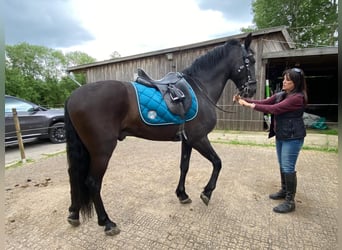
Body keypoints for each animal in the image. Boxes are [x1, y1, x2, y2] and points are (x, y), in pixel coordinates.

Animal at [65, 33, 256, 234]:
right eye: (250, 60)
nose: (252, 89)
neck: (200, 88)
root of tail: (73, 96)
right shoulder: (199, 139)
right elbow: (218, 163)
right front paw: (206, 192)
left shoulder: (188, 141)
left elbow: (184, 166)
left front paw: (182, 194)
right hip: (101, 151)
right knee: (92, 182)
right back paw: (107, 222)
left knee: (74, 175)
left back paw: (74, 214)